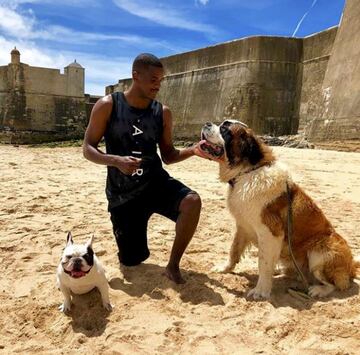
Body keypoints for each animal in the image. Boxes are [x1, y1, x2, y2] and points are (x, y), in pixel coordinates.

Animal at [201, 119, 358, 300]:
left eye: (225, 129)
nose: (206, 123)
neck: (247, 171)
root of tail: (352, 265)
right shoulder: (243, 226)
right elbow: (234, 249)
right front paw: (225, 268)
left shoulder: (270, 232)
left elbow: (263, 263)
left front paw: (261, 290)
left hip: (320, 252)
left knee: (337, 284)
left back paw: (318, 290)